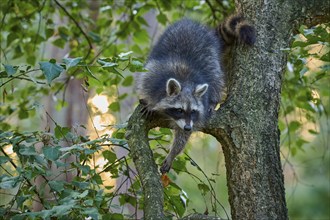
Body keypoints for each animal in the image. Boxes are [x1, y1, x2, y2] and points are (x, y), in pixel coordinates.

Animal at [135, 14, 256, 174]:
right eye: (179, 110)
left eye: (193, 111)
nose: (187, 127)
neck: (185, 82)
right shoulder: (154, 76)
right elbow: (145, 80)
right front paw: (148, 103)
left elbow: (183, 135)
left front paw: (173, 153)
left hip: (211, 57)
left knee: (216, 78)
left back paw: (213, 100)